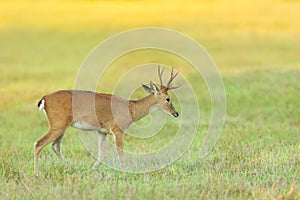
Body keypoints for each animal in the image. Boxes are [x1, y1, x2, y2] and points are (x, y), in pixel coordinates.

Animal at [35, 66, 180, 173]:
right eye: (168, 99)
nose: (176, 113)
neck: (131, 108)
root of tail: (45, 98)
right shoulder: (117, 130)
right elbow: (120, 152)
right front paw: (124, 172)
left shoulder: (102, 131)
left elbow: (101, 154)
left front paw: (91, 169)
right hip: (58, 125)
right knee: (39, 143)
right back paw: (36, 173)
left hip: (62, 126)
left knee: (55, 146)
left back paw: (68, 167)